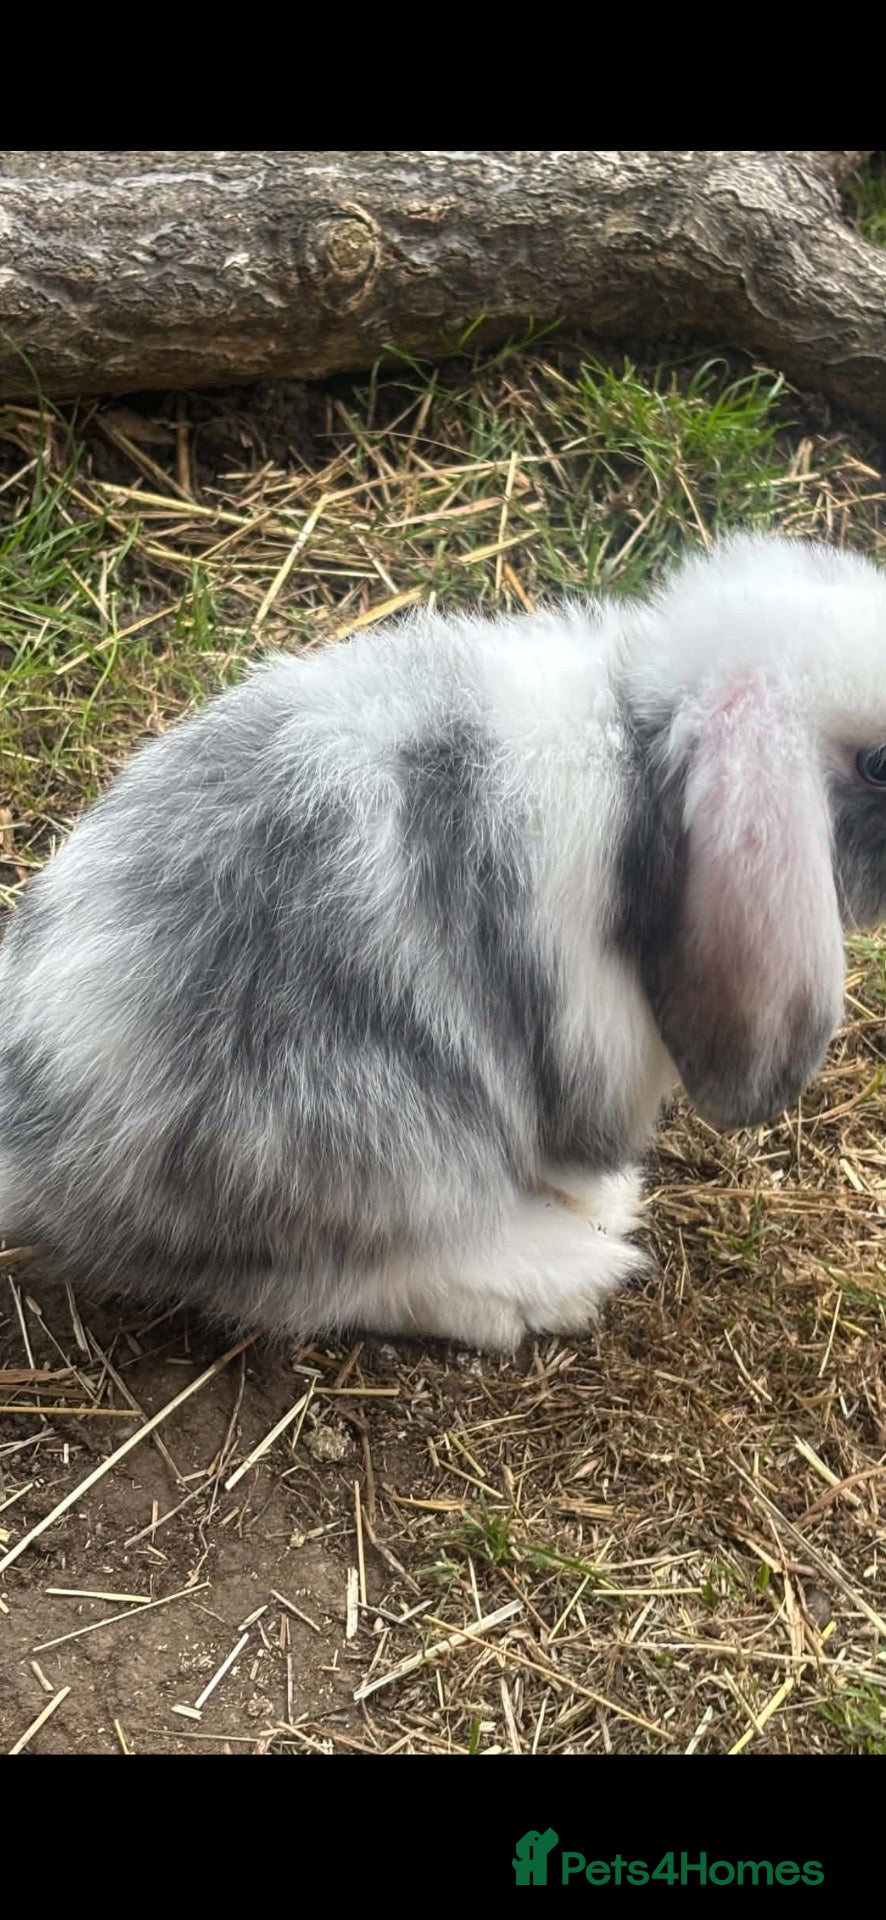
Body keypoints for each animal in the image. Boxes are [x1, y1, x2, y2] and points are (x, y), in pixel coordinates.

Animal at [0, 532, 884, 1351]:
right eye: (877, 763)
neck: (637, 758)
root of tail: (43, 1139)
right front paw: (602, 1200)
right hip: (376, 1146)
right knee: (321, 1283)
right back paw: (553, 1272)